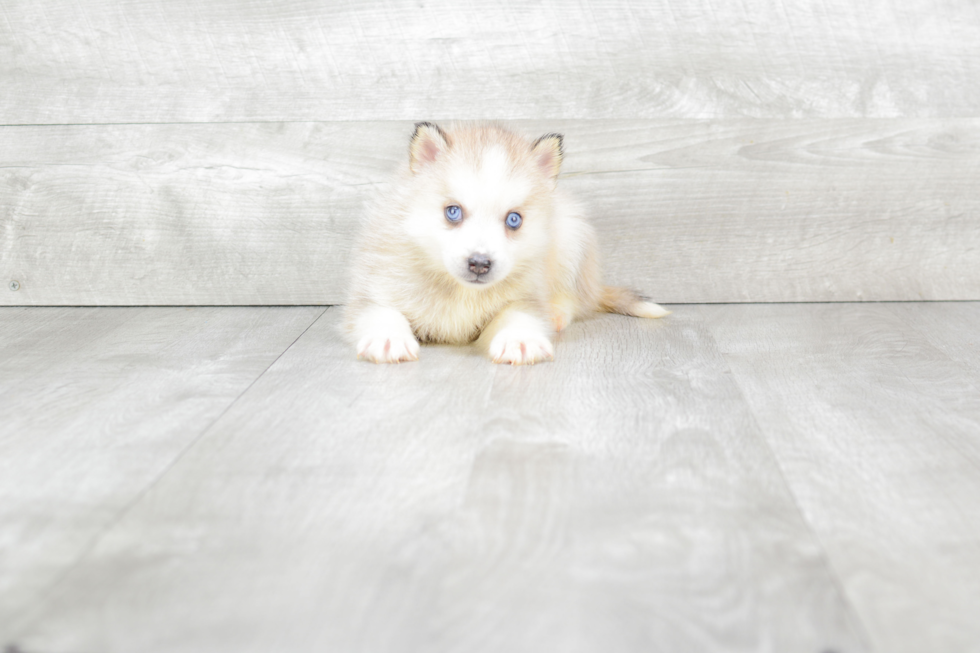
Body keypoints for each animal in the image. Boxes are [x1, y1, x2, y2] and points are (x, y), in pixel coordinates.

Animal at [340, 121, 668, 364]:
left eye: (513, 219)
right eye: (453, 212)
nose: (479, 263)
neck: (463, 292)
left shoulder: (527, 295)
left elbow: (517, 314)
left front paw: (520, 339)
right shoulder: (372, 288)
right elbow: (382, 311)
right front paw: (388, 337)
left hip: (572, 233)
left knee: (576, 298)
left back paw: (557, 312)